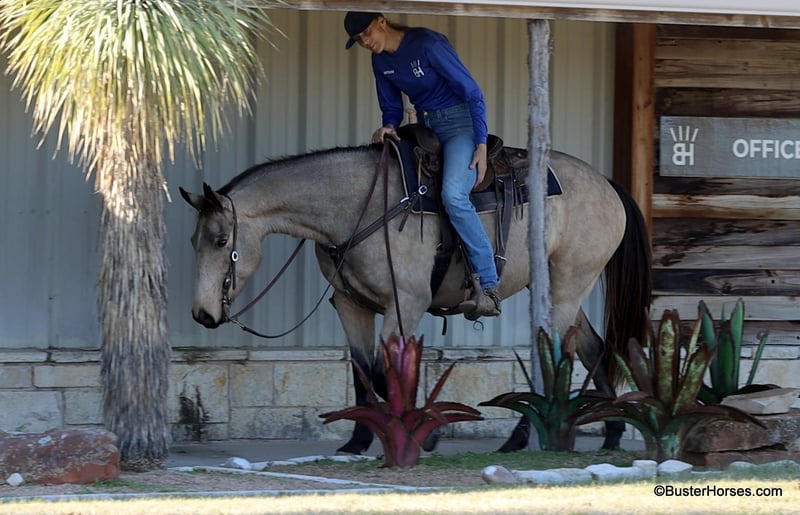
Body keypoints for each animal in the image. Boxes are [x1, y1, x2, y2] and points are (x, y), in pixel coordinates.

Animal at [179, 142, 652, 454]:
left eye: (221, 241)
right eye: (194, 241)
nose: (202, 314)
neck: (362, 209)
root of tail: (607, 185)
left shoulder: (404, 304)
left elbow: (387, 372)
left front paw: (426, 432)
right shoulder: (351, 305)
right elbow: (363, 371)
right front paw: (358, 441)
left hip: (568, 285)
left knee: (555, 353)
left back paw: (522, 437)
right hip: (557, 288)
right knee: (591, 347)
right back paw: (610, 433)